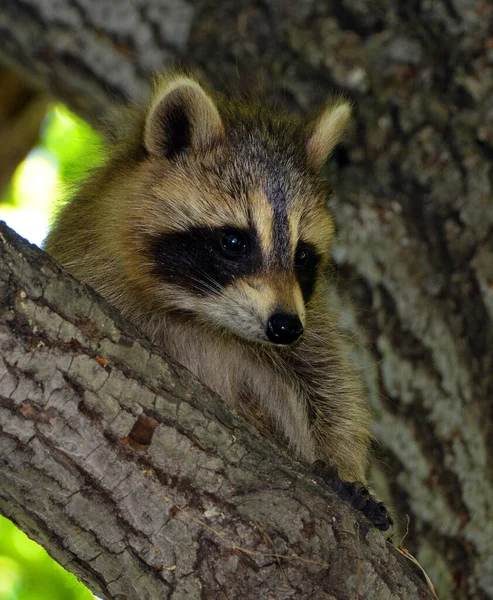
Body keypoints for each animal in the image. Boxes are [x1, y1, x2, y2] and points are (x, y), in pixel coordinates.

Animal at [44, 72, 388, 528]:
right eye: (234, 241)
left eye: (302, 255)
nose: (284, 327)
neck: (204, 315)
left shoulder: (308, 320)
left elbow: (331, 387)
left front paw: (345, 465)